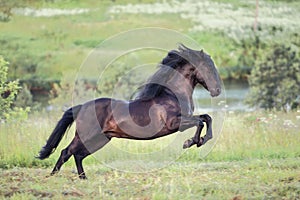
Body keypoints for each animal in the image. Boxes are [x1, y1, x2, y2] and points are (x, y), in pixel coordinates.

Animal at [37, 44, 220, 179]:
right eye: (208, 68)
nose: (217, 90)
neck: (172, 94)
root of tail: (81, 107)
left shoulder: (185, 119)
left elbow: (206, 117)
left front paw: (200, 140)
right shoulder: (174, 123)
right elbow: (200, 121)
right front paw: (190, 142)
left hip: (101, 138)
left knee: (78, 155)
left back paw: (83, 178)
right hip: (87, 135)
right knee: (66, 152)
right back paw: (53, 176)